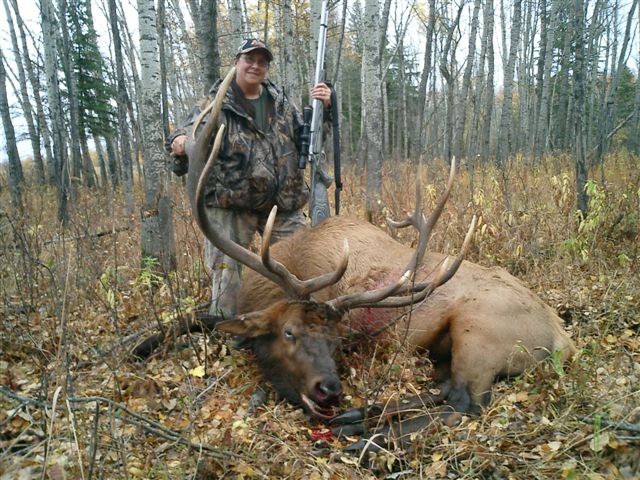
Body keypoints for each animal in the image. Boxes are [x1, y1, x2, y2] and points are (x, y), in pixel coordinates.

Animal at [183, 67, 577, 448]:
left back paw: (366, 439)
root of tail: (563, 339)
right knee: (443, 390)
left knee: (464, 404)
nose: (330, 390)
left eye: (336, 340)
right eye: (288, 332)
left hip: (480, 332)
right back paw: (358, 417)